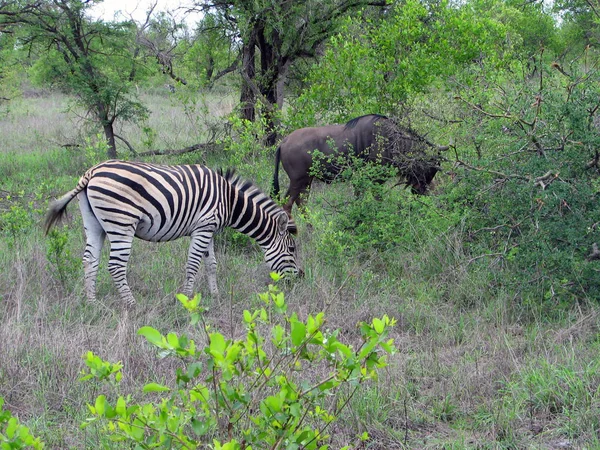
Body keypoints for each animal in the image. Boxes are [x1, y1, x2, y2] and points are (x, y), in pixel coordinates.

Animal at [43, 160, 300, 308]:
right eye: (292, 249)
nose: (299, 279)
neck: (229, 201)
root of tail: (91, 173)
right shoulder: (203, 227)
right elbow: (193, 265)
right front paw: (187, 300)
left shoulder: (208, 229)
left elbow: (212, 264)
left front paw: (216, 296)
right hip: (122, 223)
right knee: (115, 265)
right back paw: (132, 304)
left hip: (94, 224)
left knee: (89, 260)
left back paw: (92, 302)